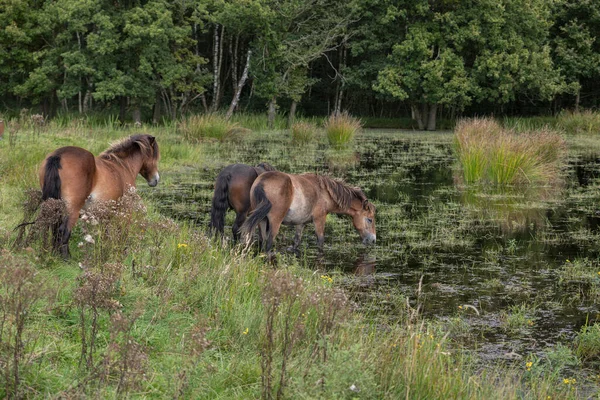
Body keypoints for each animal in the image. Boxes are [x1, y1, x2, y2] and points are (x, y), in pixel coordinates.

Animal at [240, 171, 376, 253]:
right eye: (370, 219)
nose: (373, 240)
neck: (325, 192)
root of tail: (262, 181)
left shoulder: (301, 223)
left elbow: (296, 242)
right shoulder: (319, 219)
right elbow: (320, 241)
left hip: (262, 221)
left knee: (263, 242)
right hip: (274, 223)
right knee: (268, 244)